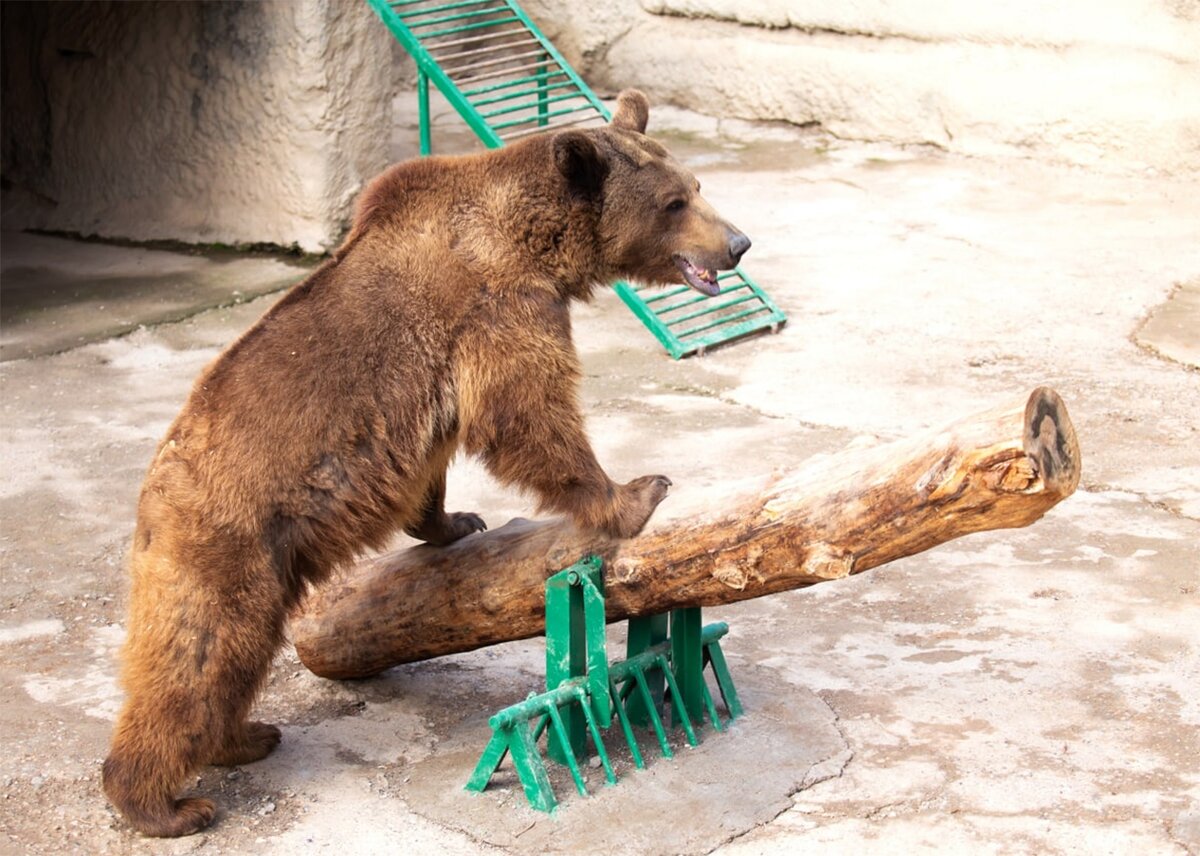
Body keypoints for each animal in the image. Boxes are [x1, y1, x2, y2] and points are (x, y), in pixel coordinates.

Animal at [100, 88, 748, 835]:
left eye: (696, 186)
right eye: (673, 202)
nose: (737, 243)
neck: (534, 243)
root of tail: (151, 493)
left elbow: (442, 462)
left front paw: (457, 520)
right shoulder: (498, 308)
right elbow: (529, 412)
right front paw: (637, 491)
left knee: (233, 660)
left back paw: (245, 736)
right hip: (227, 540)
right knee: (200, 654)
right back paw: (165, 802)